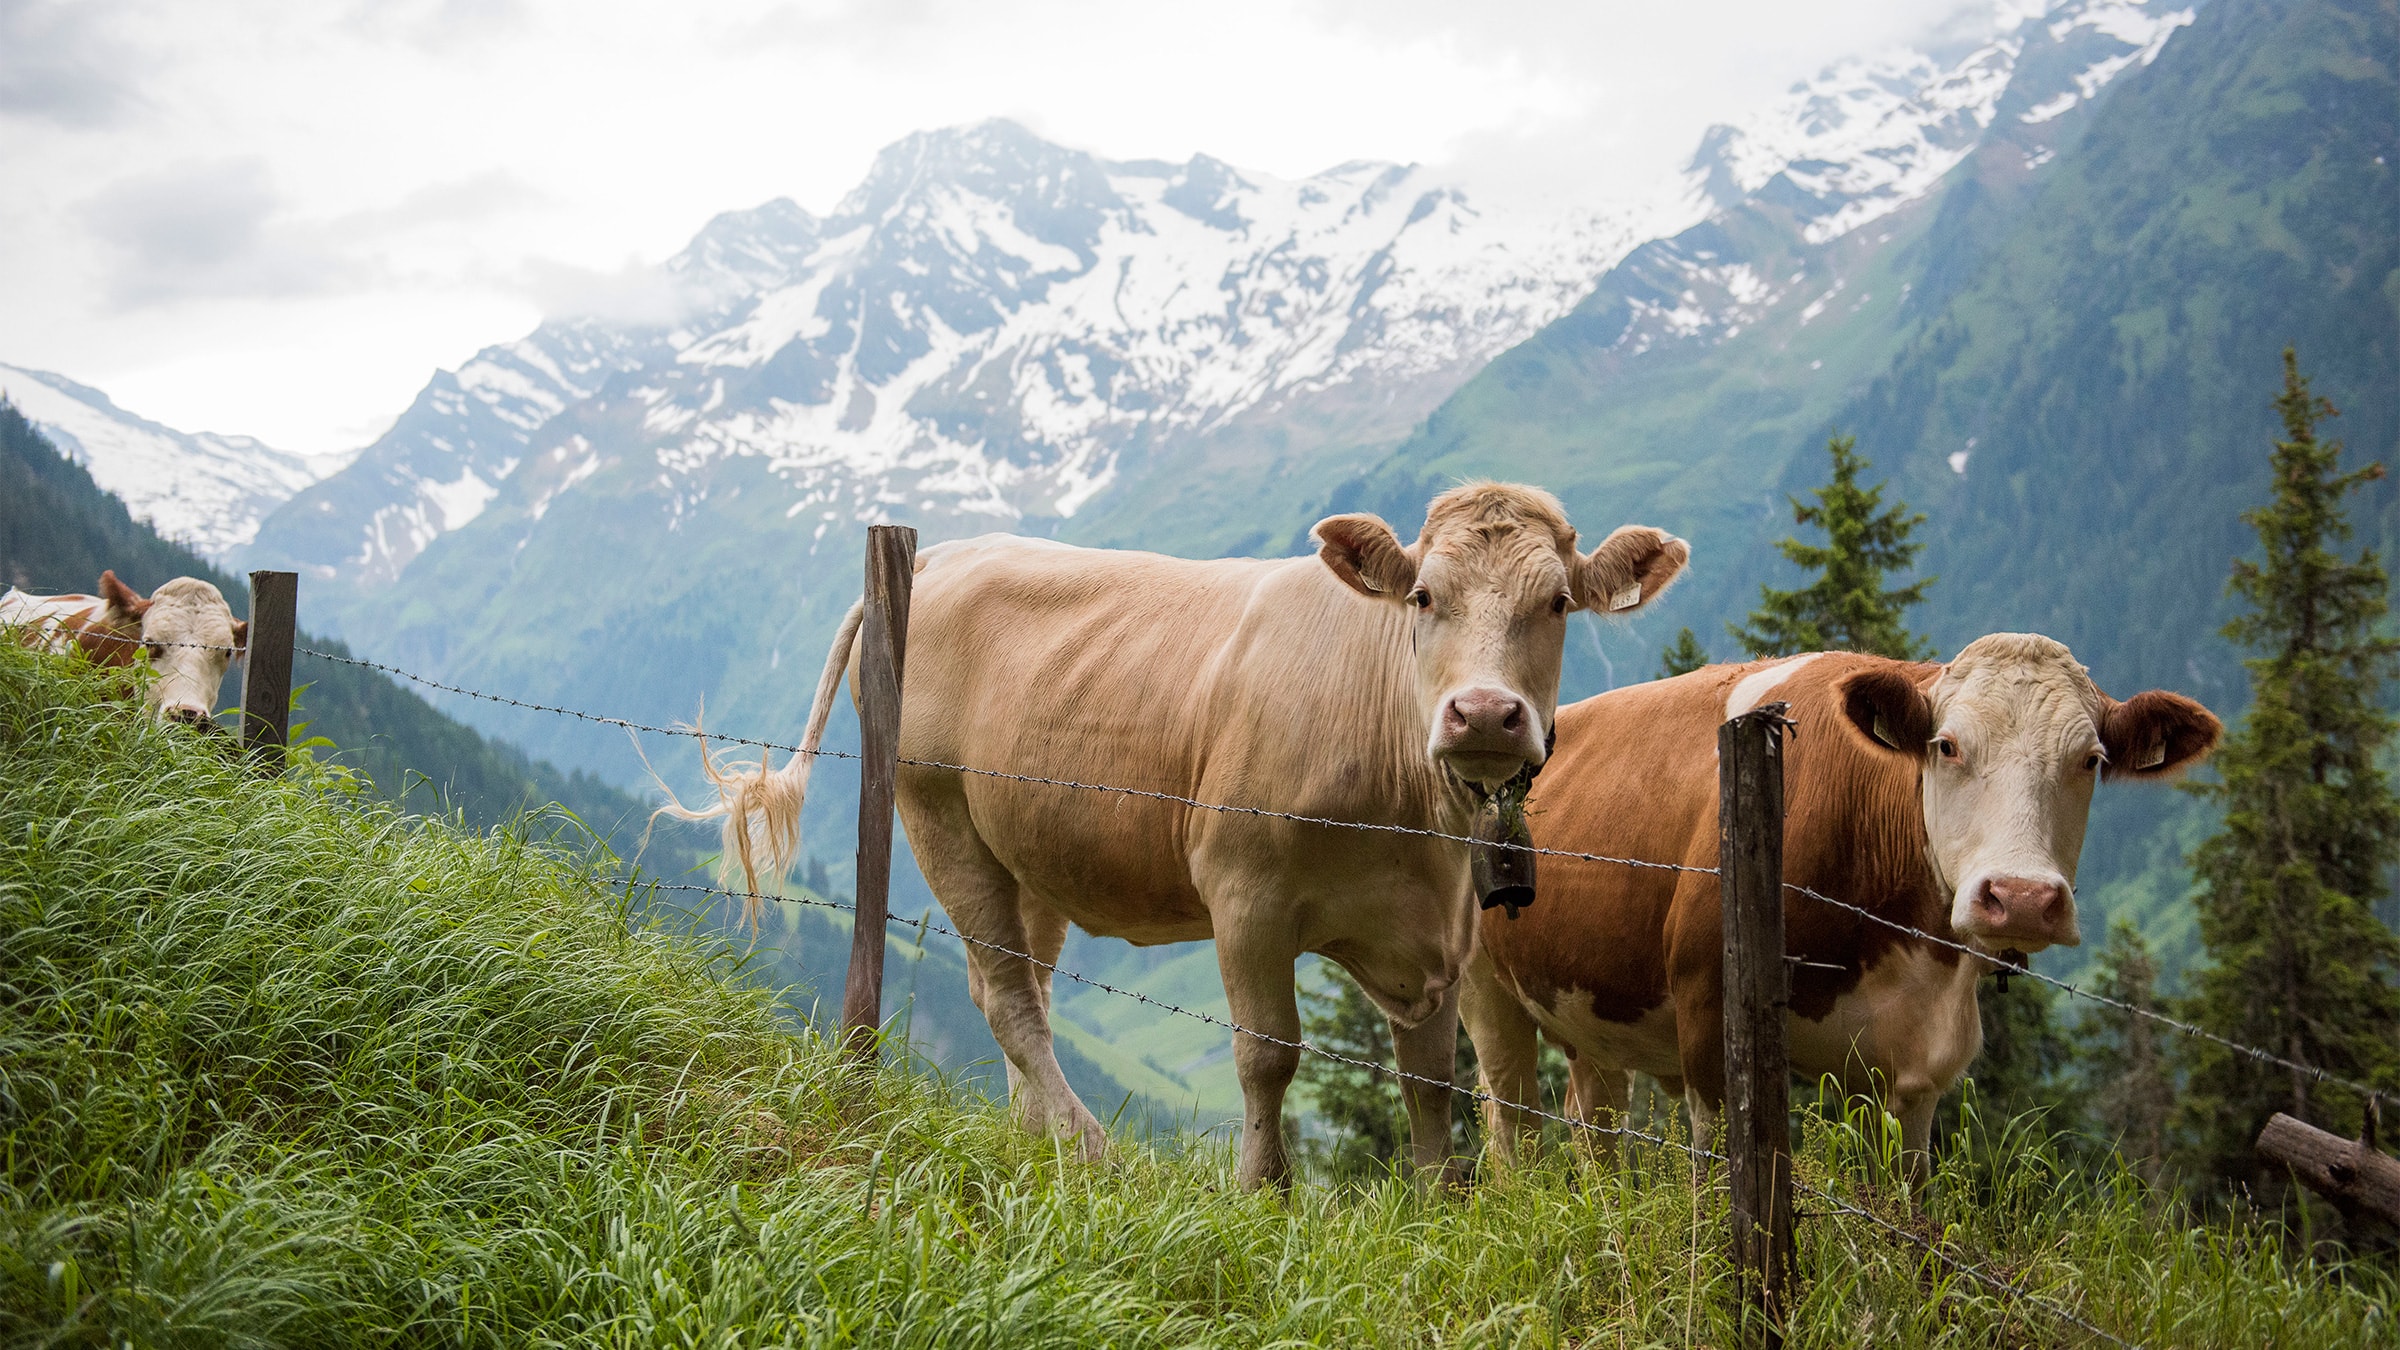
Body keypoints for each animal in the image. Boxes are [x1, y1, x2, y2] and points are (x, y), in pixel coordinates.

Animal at [670, 484, 1689, 1188]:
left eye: (1556, 604)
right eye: (1425, 598)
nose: (1482, 713)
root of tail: (946, 554)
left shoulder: (1439, 930)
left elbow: (1432, 1079)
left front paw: (1440, 1200)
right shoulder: (1245, 894)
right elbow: (1268, 1054)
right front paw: (1265, 1193)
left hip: (1029, 853)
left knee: (1020, 990)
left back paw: (1038, 1143)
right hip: (937, 814)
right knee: (1008, 1000)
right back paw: (1093, 1153)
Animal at [1461, 634, 2220, 1180]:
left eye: (2090, 760)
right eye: (1948, 746)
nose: (2024, 898)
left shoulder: (1915, 1068)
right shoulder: (1708, 1013)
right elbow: (1719, 1175)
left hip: (1588, 1011)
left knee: (1594, 1122)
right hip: (1482, 990)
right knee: (1511, 1124)